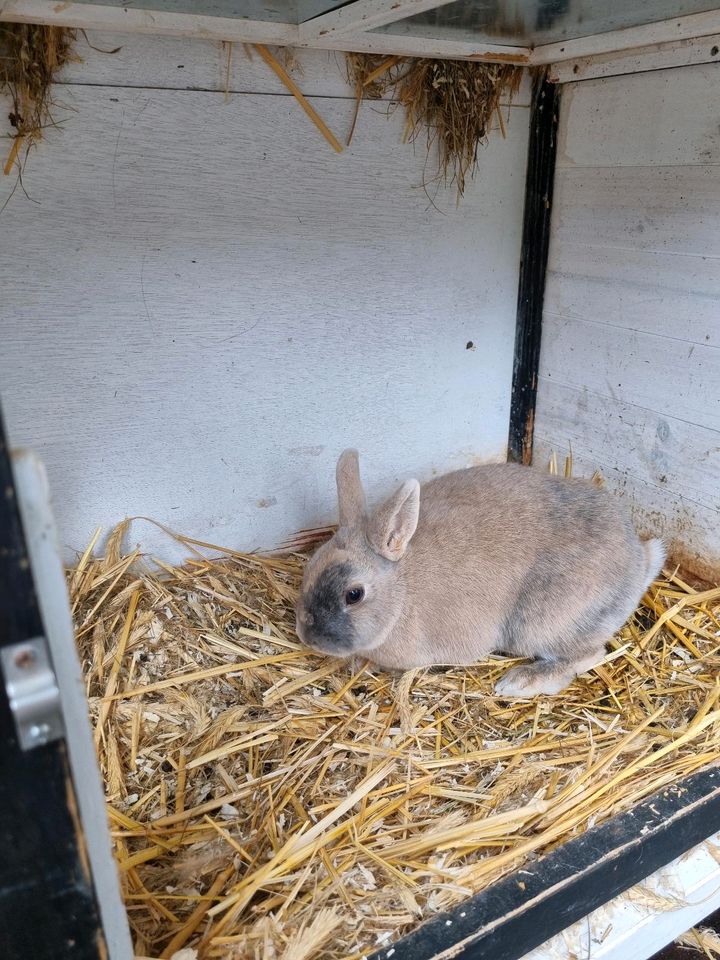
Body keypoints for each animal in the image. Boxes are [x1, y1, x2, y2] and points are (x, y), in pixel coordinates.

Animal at [294, 450, 664, 696]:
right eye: (310, 566)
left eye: (353, 594)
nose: (306, 636)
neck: (402, 590)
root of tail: (639, 561)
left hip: (541, 624)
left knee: (589, 654)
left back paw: (518, 682)